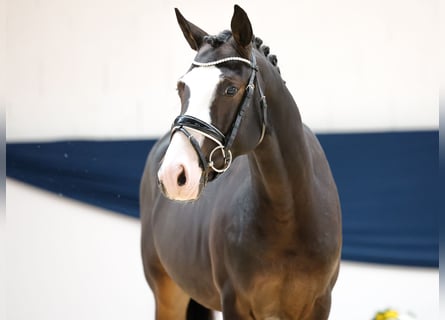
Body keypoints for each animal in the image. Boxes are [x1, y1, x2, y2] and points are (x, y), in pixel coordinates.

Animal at [140, 5, 342, 320]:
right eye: (181, 88)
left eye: (230, 90)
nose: (174, 174)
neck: (289, 214)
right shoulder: (234, 303)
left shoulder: (320, 304)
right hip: (168, 293)